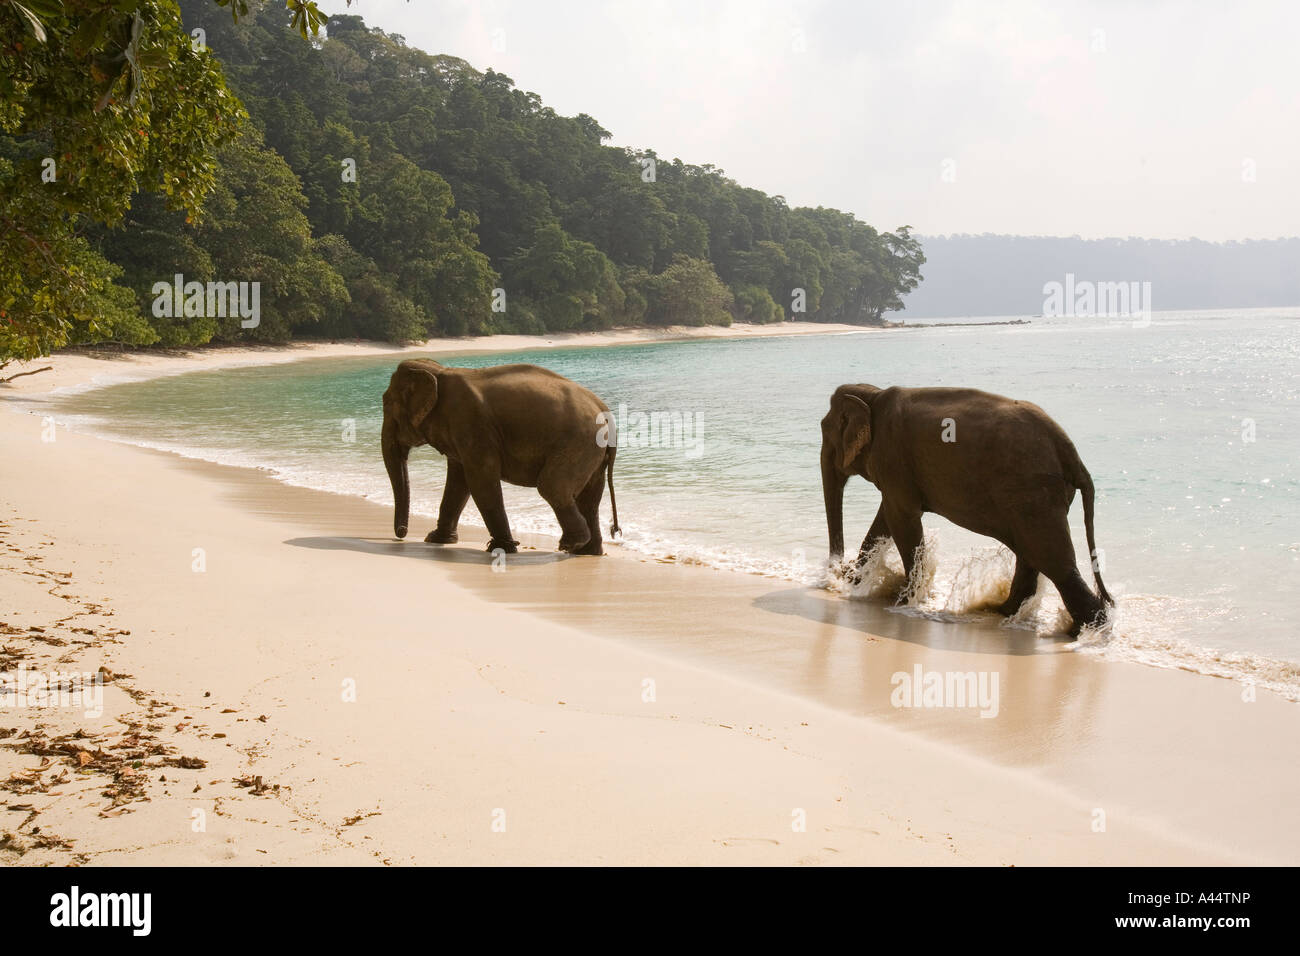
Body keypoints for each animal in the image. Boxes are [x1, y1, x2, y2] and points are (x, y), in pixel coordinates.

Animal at [379, 358, 618, 554]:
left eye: (387, 404)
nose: (401, 534)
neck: (439, 372)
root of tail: (605, 411)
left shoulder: (472, 424)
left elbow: (480, 479)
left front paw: (501, 548)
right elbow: (459, 482)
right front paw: (436, 539)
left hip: (579, 442)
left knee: (552, 487)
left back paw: (570, 545)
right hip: (592, 450)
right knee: (589, 498)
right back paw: (586, 552)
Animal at [821, 382, 1118, 634]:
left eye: (825, 430)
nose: (837, 571)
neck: (873, 394)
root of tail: (1073, 455)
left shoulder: (892, 456)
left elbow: (901, 519)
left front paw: (904, 599)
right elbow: (887, 518)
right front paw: (858, 581)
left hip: (1034, 492)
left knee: (1051, 559)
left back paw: (1085, 630)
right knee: (1032, 554)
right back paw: (1003, 611)